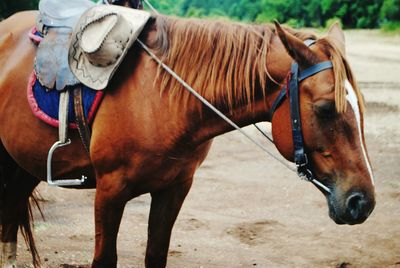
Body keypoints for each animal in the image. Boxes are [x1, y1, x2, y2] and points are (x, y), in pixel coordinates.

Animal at [0, 9, 376, 268]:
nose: (362, 202)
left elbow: (156, 255)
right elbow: (105, 259)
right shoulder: (109, 191)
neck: (162, 97)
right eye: (325, 109)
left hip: (25, 164)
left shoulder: (174, 189)